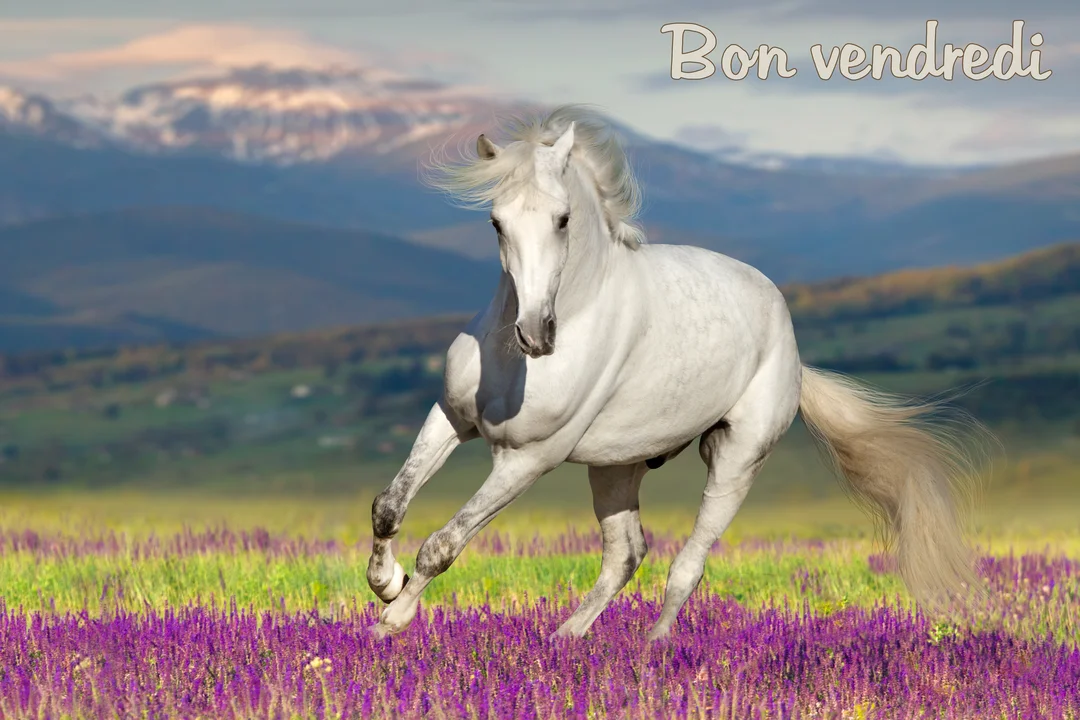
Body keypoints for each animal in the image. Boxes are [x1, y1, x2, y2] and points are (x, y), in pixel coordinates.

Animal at [364, 105, 987, 641]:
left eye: (563, 220)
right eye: (496, 222)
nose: (536, 334)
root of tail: (791, 346)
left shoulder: (527, 459)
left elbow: (444, 542)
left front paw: (391, 620)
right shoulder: (452, 418)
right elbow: (389, 505)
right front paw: (385, 584)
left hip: (735, 460)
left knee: (688, 564)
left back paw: (654, 651)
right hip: (616, 466)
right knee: (626, 554)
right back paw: (563, 639)